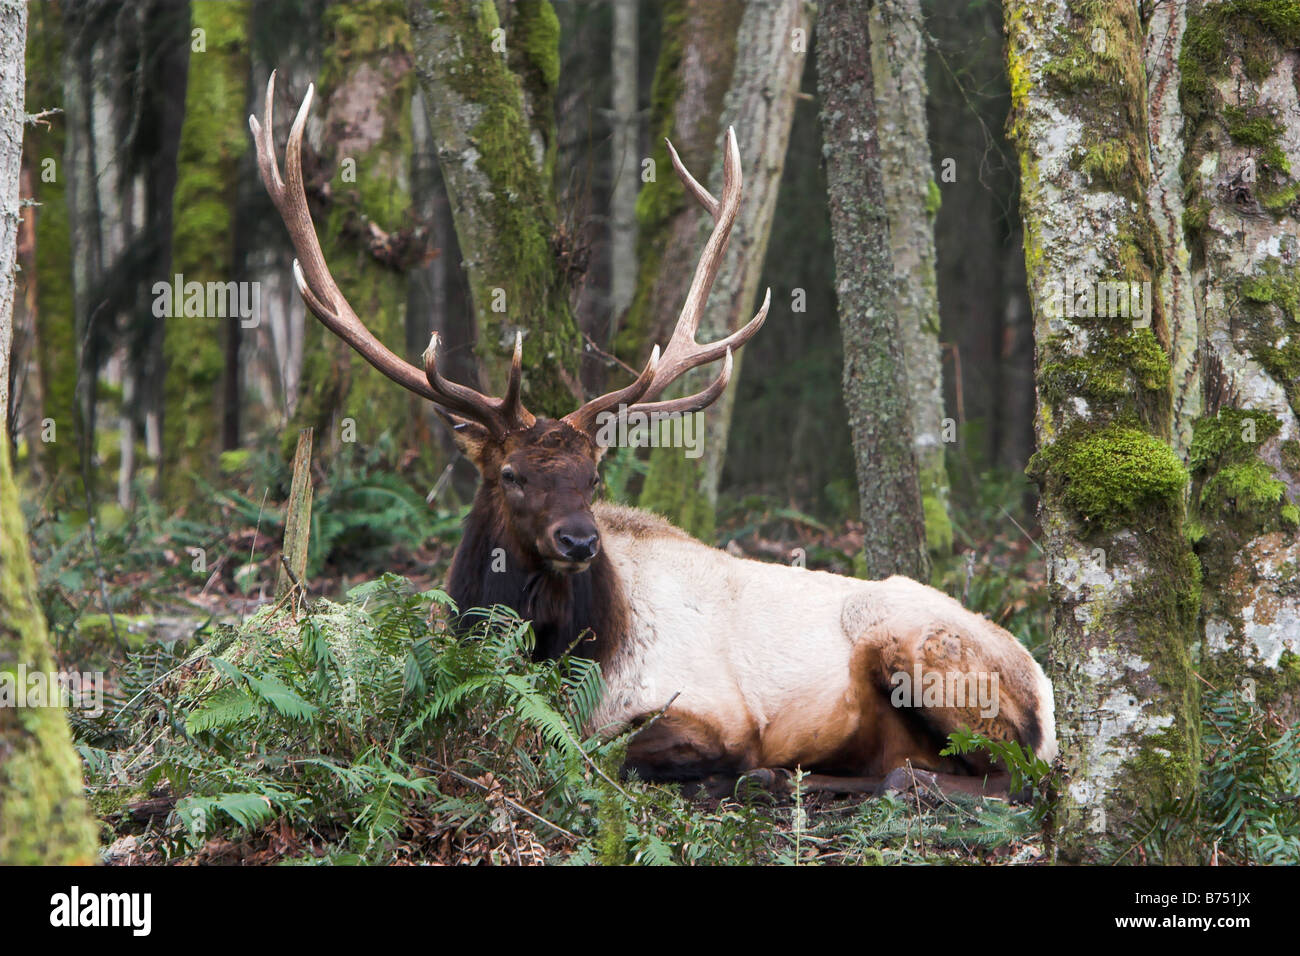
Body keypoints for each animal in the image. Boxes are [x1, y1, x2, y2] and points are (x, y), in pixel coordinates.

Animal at [250, 73, 1057, 801]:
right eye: (510, 474)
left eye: (593, 477)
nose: (579, 540)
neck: (575, 648)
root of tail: (1048, 693)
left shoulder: (709, 713)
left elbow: (623, 754)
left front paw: (739, 772)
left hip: (929, 657)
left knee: (1004, 780)